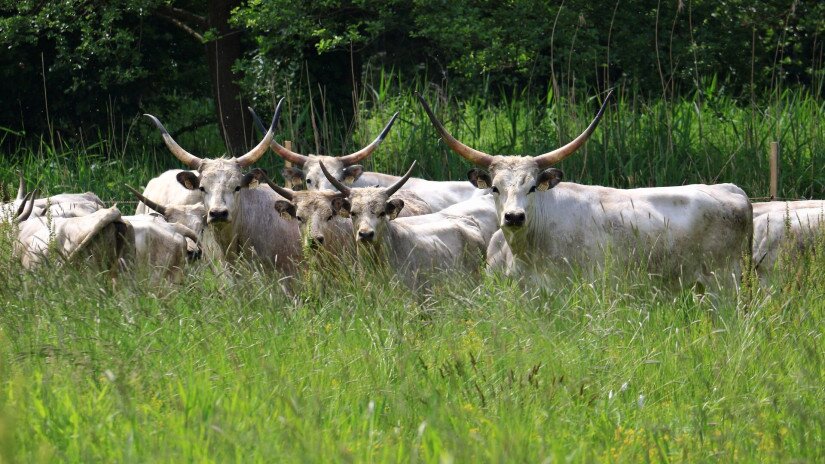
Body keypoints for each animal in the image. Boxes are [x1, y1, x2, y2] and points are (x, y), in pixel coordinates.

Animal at [418, 93, 752, 290]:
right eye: (496, 188)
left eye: (532, 187)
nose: (514, 217)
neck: (525, 251)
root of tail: (733, 189)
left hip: (725, 283)